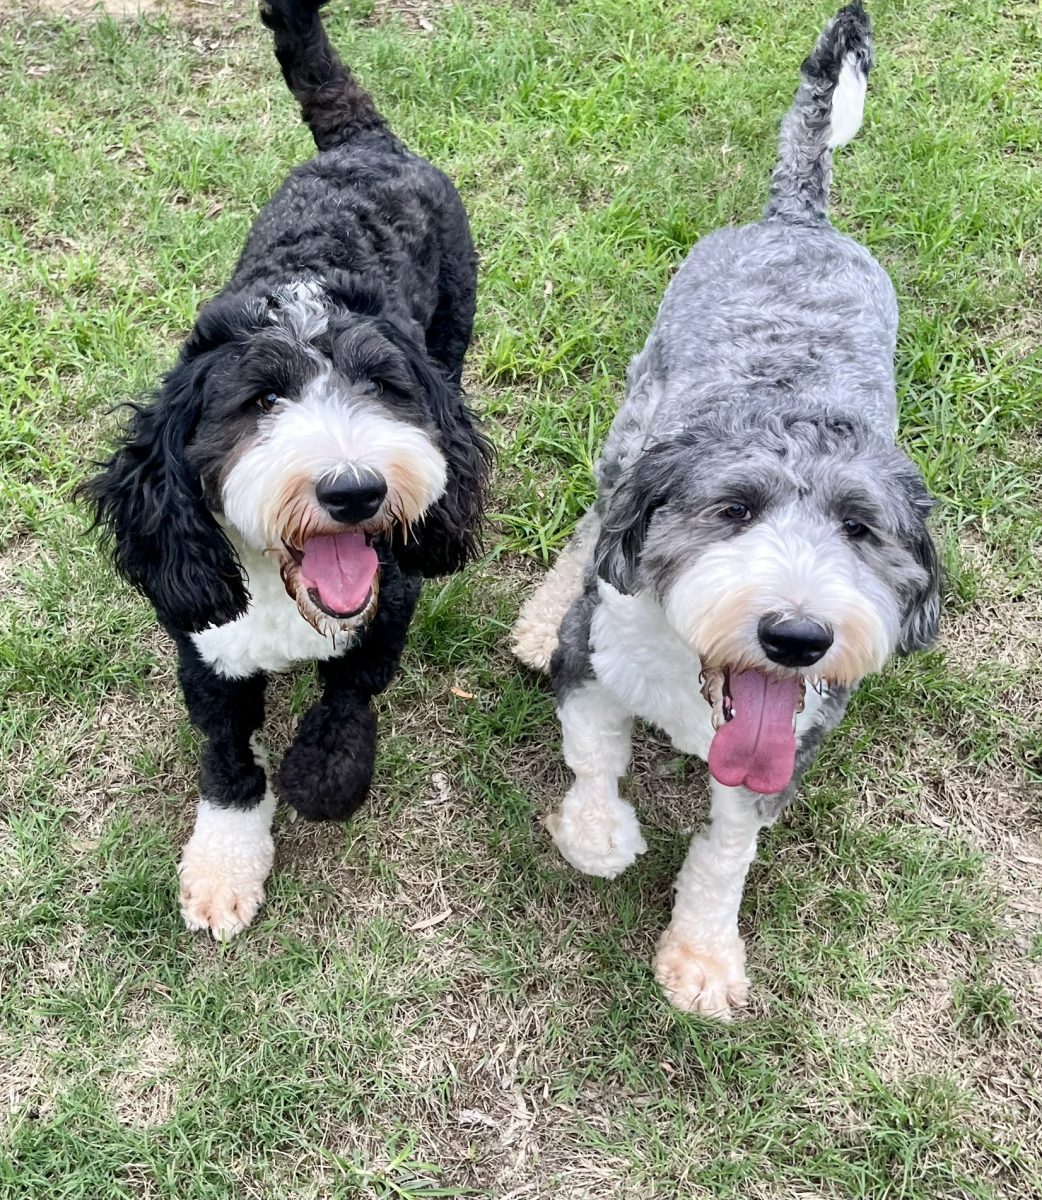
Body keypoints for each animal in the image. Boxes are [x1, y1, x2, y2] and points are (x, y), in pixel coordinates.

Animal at [85, 0, 489, 940]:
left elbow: (345, 706)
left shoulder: (384, 609)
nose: (356, 490)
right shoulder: (207, 646)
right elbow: (227, 755)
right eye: (260, 400)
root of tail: (365, 141)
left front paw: (316, 777)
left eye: (383, 388)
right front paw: (223, 863)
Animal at [512, 2, 940, 1019]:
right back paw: (538, 616)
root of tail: (799, 216)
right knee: (593, 522)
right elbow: (592, 757)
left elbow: (727, 848)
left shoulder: (783, 754)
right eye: (733, 510)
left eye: (861, 531)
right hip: (633, 416)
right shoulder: (599, 656)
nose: (797, 635)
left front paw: (703, 955)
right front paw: (602, 836)